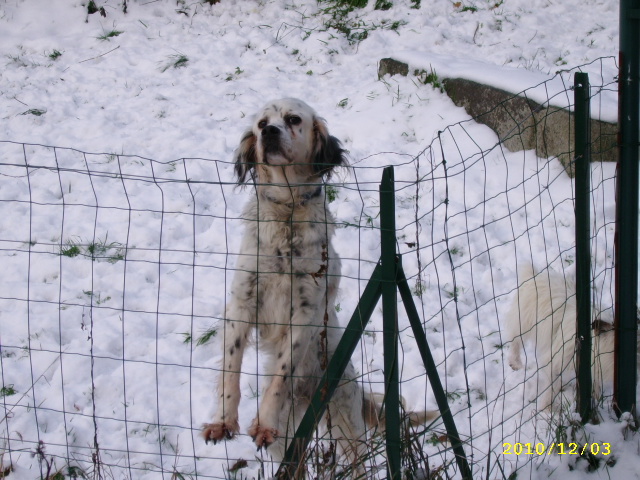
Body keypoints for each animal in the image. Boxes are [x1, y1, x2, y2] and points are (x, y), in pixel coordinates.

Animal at [202, 98, 438, 472]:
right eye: (261, 124)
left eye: (293, 119)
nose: (270, 133)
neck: (287, 215)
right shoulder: (241, 304)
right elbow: (230, 369)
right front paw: (223, 421)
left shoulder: (305, 312)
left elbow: (281, 373)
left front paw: (263, 421)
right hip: (289, 442)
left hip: (345, 421)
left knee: (358, 464)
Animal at [504, 264, 616, 410]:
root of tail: (534, 274)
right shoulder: (557, 358)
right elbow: (553, 384)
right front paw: (546, 407)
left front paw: (596, 397)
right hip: (523, 322)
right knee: (515, 341)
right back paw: (515, 362)